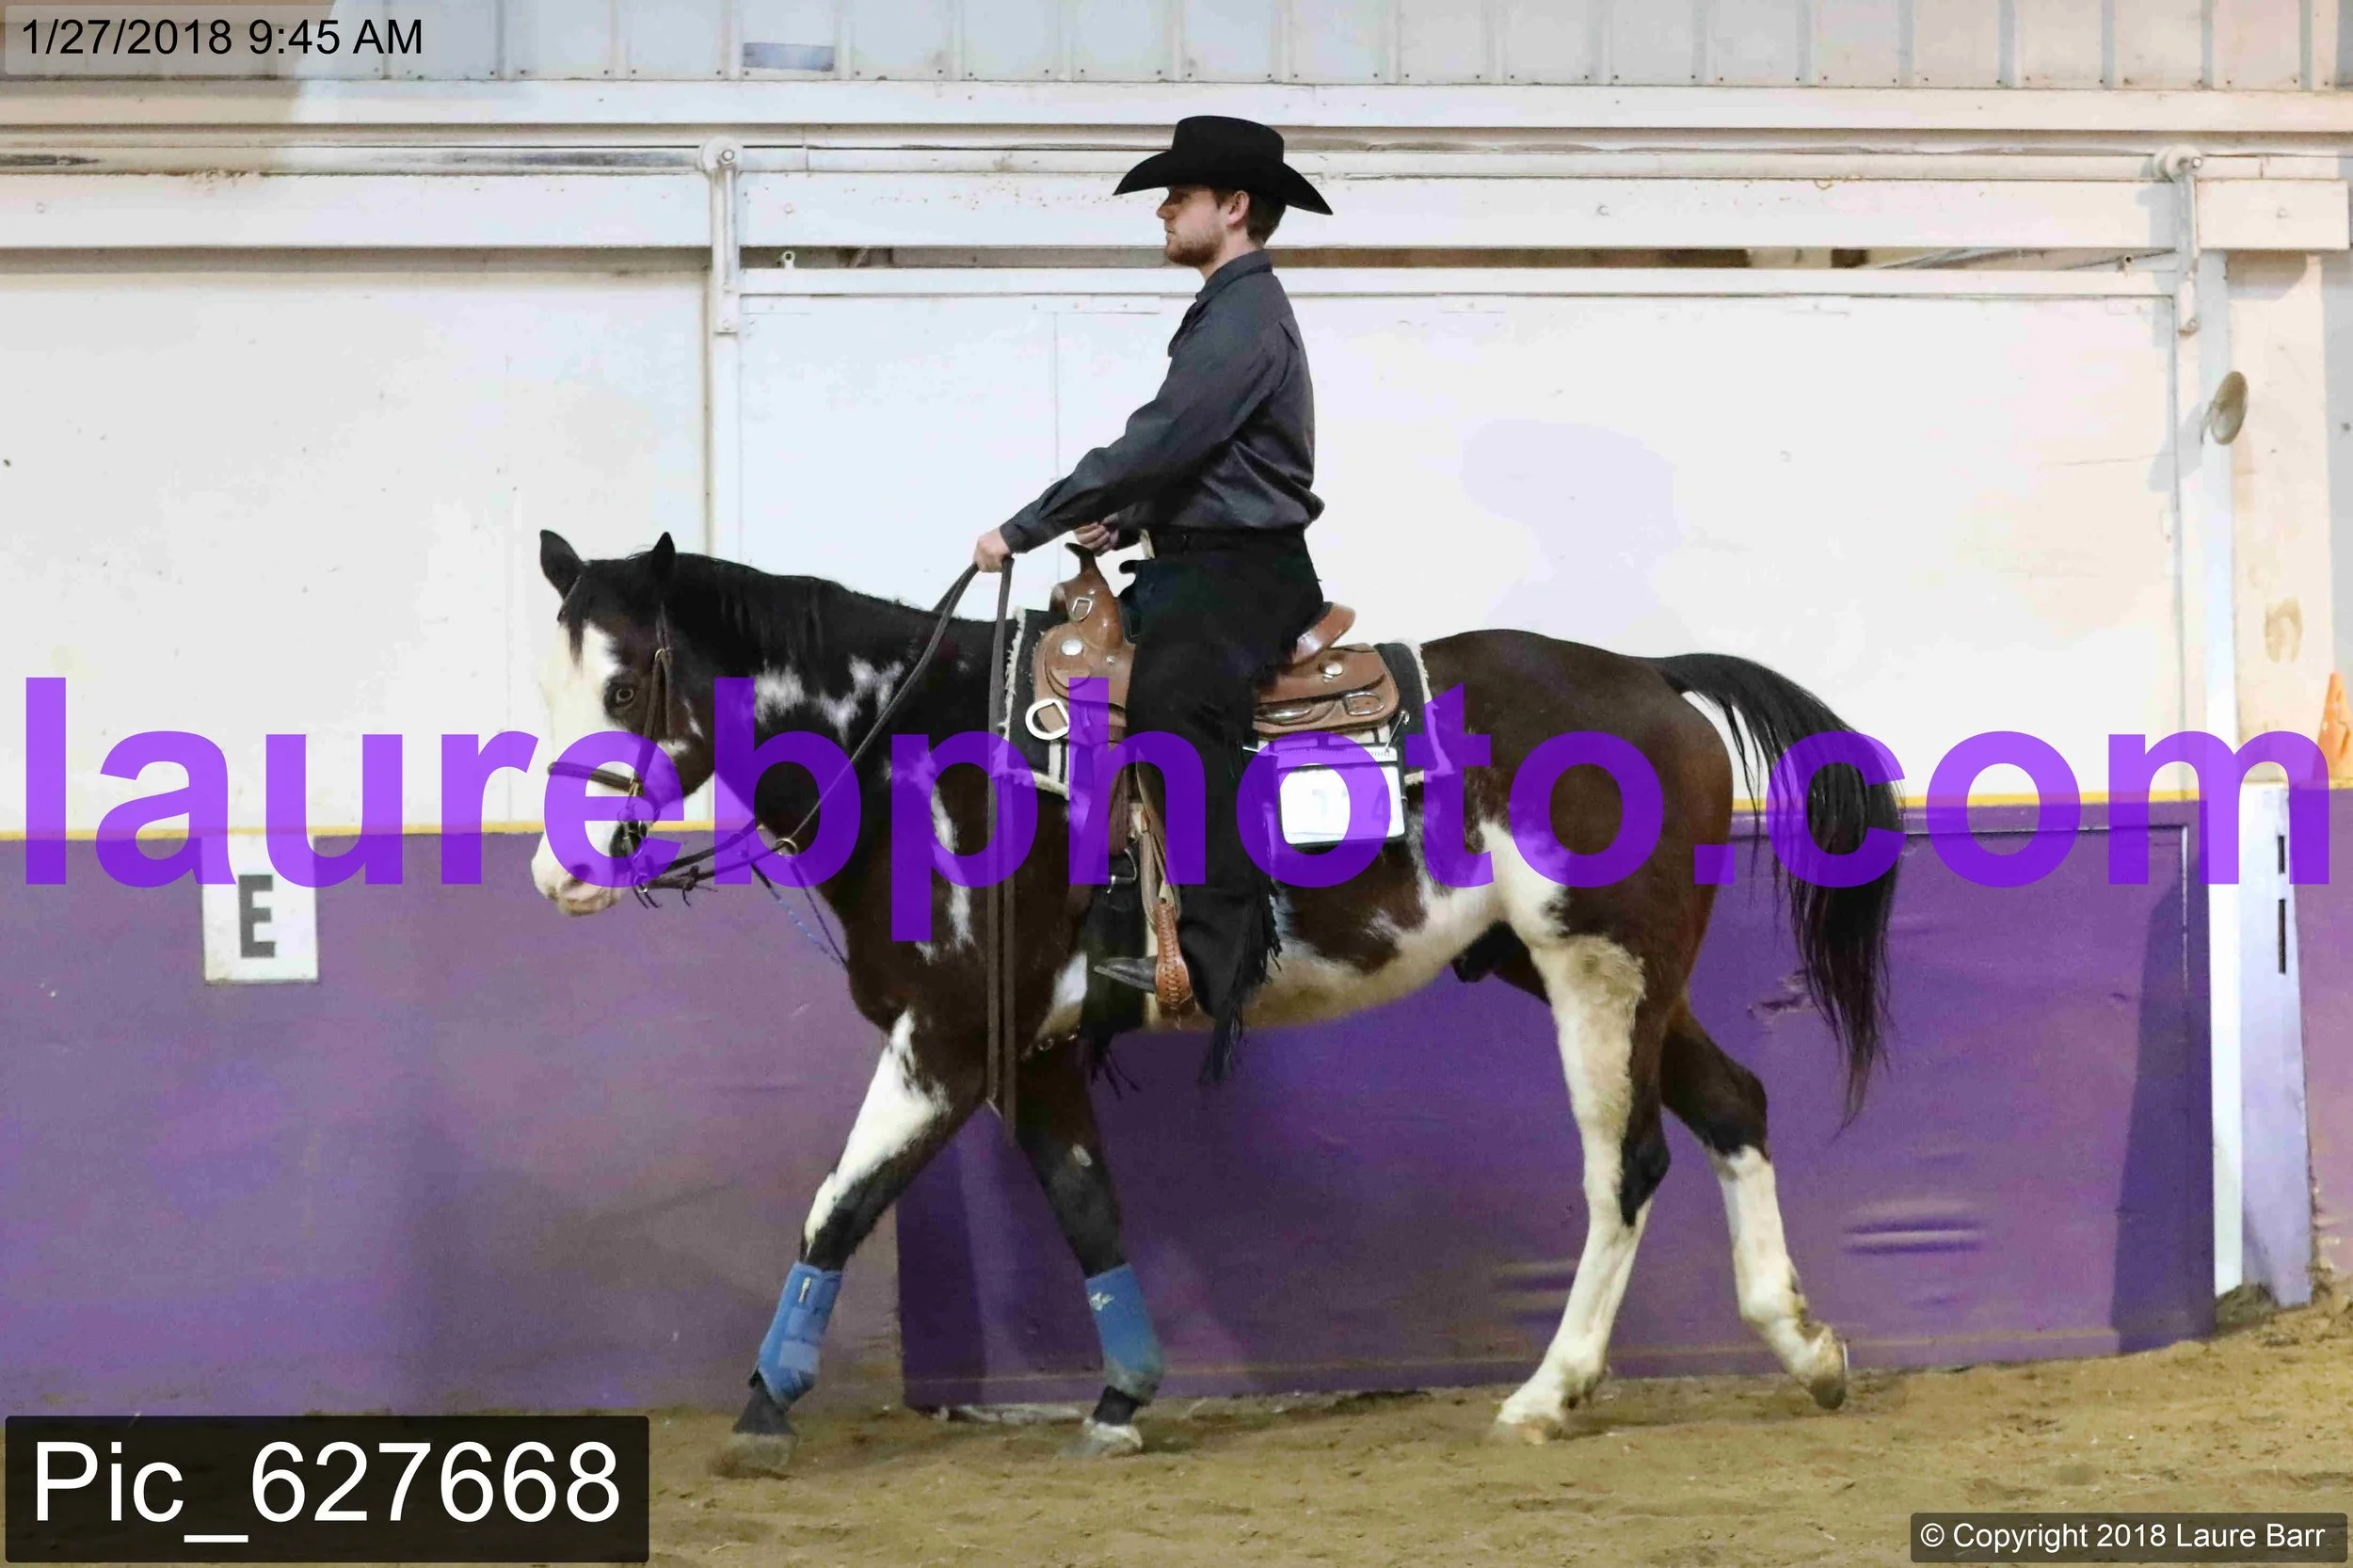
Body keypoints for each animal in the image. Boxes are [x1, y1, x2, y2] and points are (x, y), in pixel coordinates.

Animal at [527, 529, 1899, 1475]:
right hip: (1605, 970)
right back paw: (1805, 1345)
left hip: (1597, 973)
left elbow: (842, 1201)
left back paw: (1549, 1392)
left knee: (1628, 1165)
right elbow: (1085, 1204)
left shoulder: (950, 1034)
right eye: (548, 688)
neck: (920, 755)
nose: (557, 872)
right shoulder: (1032, 1048)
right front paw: (1123, 1395)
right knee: (1732, 1104)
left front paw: (763, 1408)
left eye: (623, 689)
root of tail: (1652, 679)